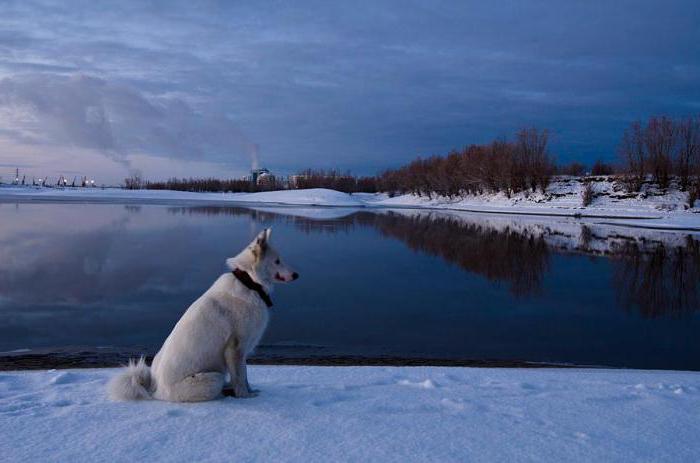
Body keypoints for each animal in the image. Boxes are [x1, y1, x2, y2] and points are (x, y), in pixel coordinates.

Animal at [108, 229, 296, 402]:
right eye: (277, 261)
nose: (296, 275)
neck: (249, 282)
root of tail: (156, 390)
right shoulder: (235, 348)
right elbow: (240, 378)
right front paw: (246, 396)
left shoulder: (242, 352)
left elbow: (245, 376)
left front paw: (250, 391)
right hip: (214, 378)